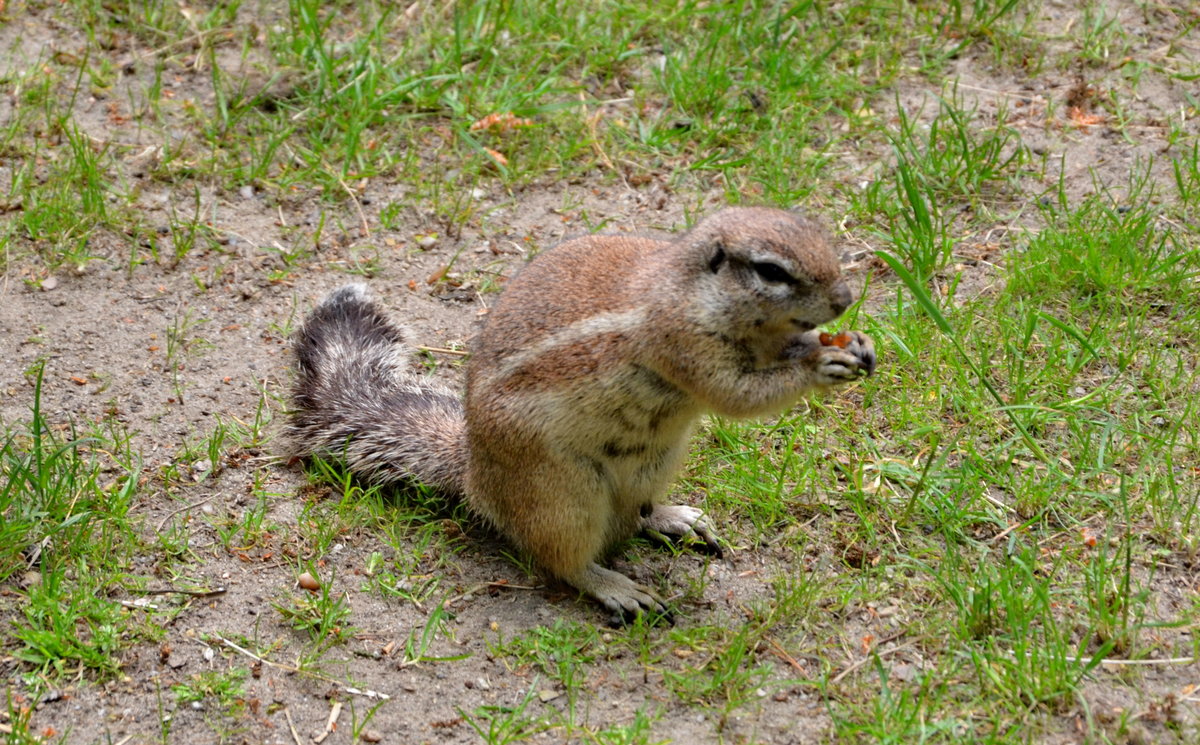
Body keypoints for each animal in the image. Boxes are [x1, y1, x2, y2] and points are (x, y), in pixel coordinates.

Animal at [286, 205, 878, 623]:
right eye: (770, 271)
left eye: (819, 234)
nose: (845, 298)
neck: (690, 290)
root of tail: (474, 474)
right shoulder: (682, 346)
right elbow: (738, 396)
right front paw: (823, 362)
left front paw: (852, 344)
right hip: (562, 493)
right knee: (562, 558)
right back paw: (617, 589)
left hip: (657, 460)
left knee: (636, 511)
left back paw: (673, 518)